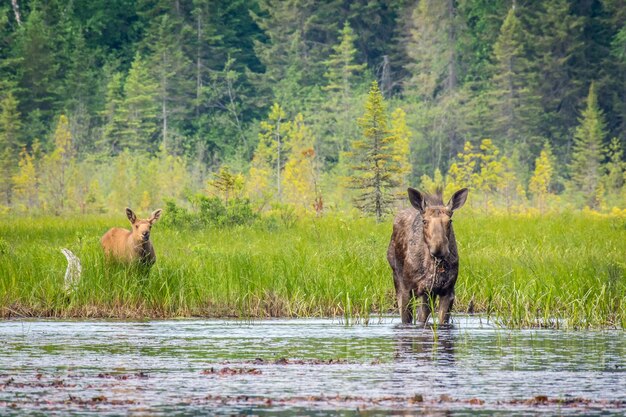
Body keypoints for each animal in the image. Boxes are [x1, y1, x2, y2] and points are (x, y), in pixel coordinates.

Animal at [386, 187, 468, 324]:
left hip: (429, 294)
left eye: (450, 221)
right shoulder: (407, 290)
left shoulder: (447, 292)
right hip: (397, 277)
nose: (439, 249)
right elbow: (406, 319)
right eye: (424, 221)